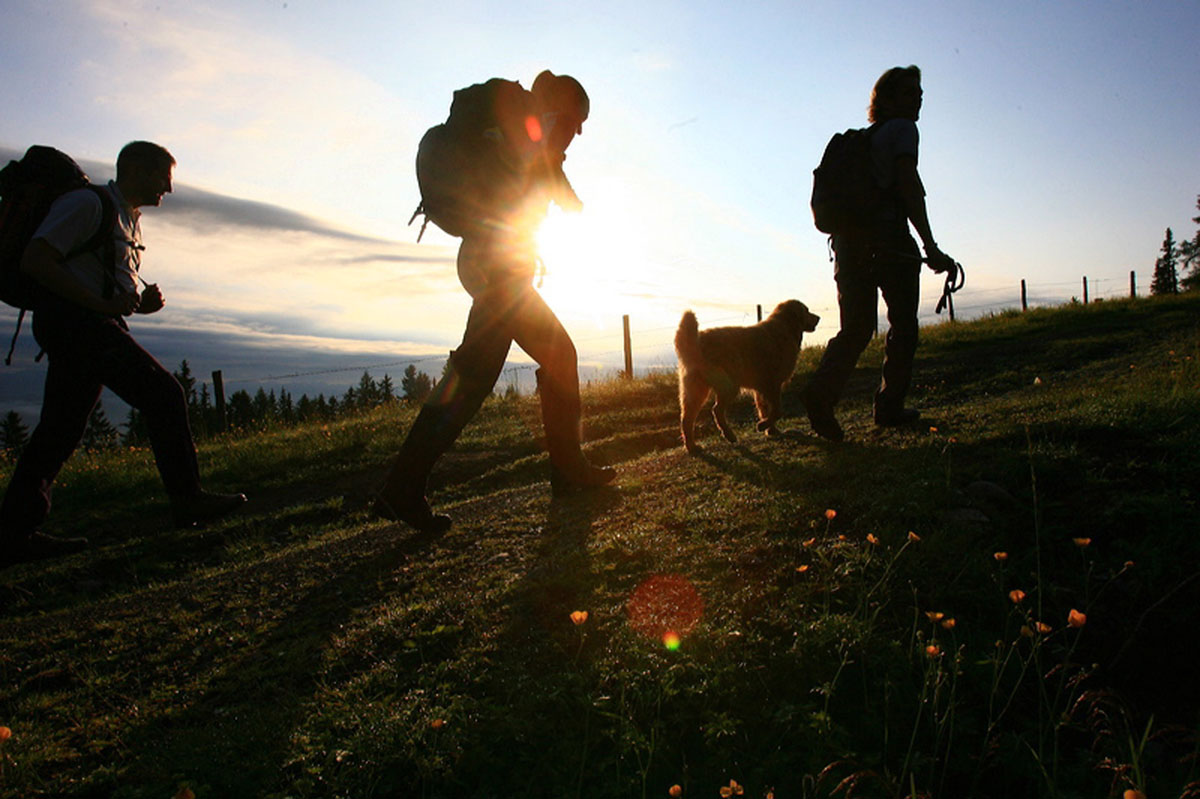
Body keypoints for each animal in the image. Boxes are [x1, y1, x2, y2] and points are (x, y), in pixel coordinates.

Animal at [676, 298, 816, 451]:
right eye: (807, 310)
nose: (818, 318)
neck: (784, 328)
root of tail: (696, 341)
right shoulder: (771, 384)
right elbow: (777, 410)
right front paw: (763, 425)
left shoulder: (761, 388)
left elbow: (765, 409)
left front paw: (771, 430)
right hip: (728, 385)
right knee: (716, 410)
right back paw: (728, 435)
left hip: (697, 390)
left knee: (687, 418)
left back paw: (692, 446)